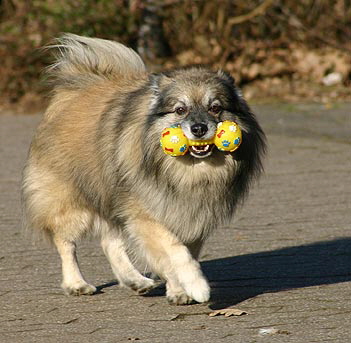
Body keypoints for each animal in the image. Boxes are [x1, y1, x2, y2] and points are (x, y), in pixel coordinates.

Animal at [20, 33, 266, 306]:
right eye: (180, 109)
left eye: (215, 107)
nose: (199, 128)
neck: (189, 172)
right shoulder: (146, 213)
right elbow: (175, 251)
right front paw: (196, 286)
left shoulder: (192, 216)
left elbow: (182, 254)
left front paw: (178, 290)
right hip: (72, 204)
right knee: (66, 243)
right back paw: (77, 284)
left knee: (110, 242)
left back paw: (134, 280)